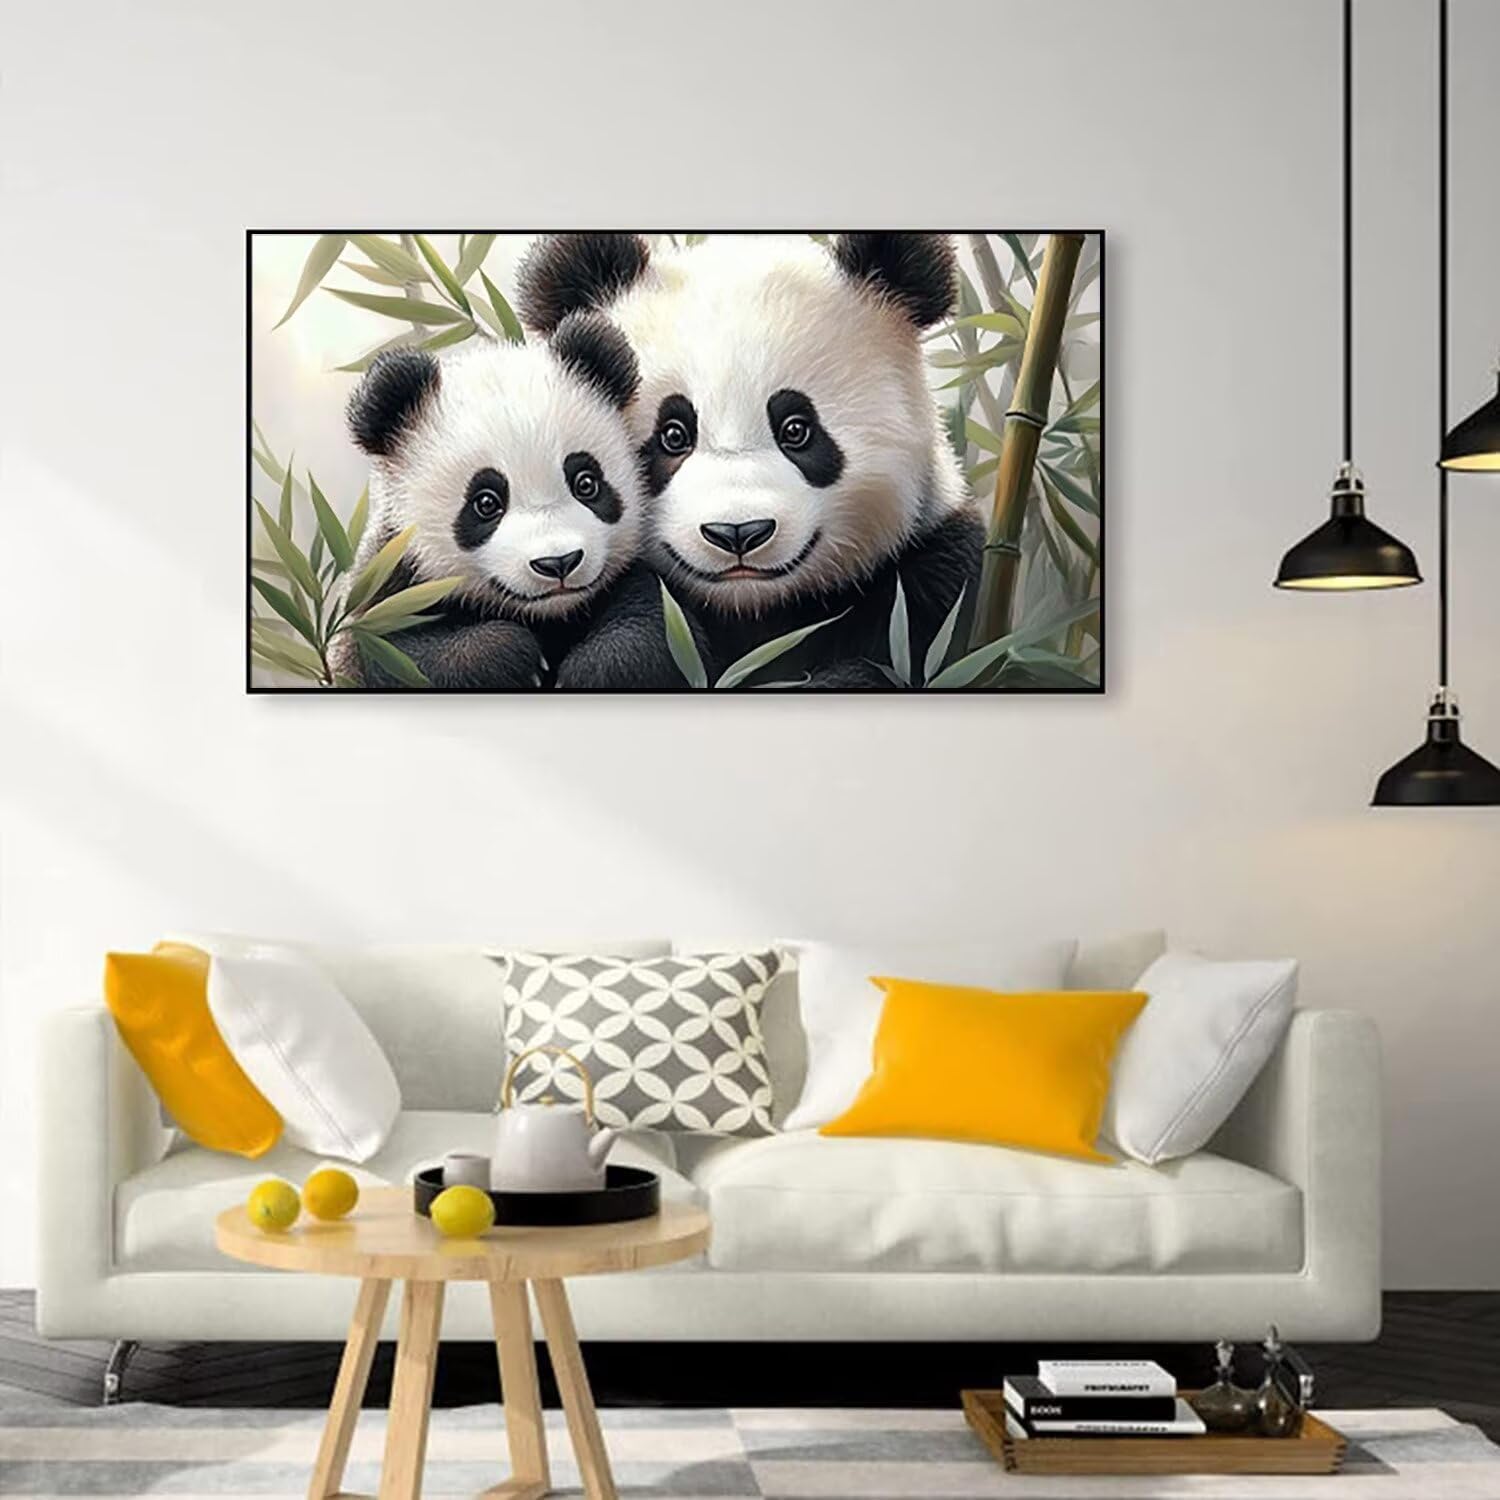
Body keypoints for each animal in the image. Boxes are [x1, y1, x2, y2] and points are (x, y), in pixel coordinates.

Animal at [336, 312, 690, 691]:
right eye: (486, 503)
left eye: (586, 483)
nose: (558, 563)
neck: (551, 615)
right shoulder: (392, 583)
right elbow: (399, 654)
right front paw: (511, 656)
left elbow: (656, 628)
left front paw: (592, 669)